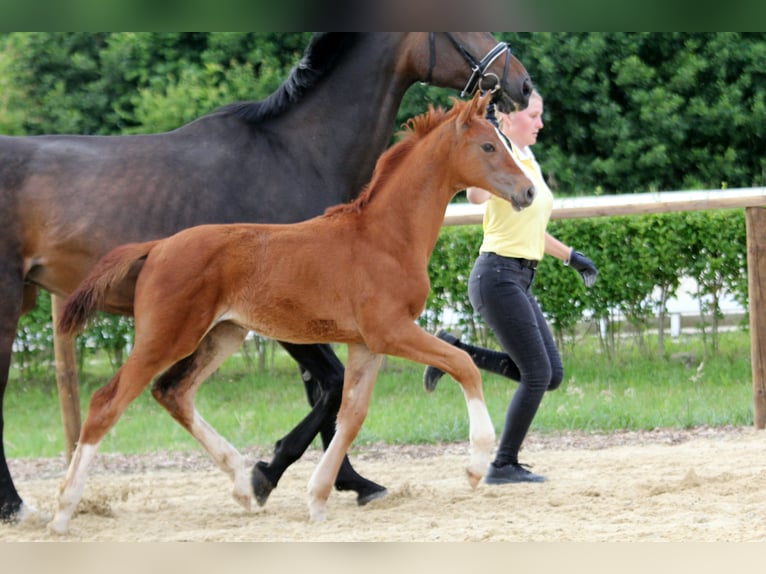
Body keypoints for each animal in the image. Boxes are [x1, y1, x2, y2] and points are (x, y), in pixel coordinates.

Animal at [0, 32, 536, 528]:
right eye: (489, 145)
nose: (529, 191)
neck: (382, 234)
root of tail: (159, 246)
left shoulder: (365, 343)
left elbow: (350, 413)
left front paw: (320, 493)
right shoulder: (389, 331)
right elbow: (459, 365)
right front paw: (475, 464)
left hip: (223, 334)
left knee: (174, 392)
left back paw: (240, 482)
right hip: (161, 335)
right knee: (106, 402)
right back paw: (57, 511)